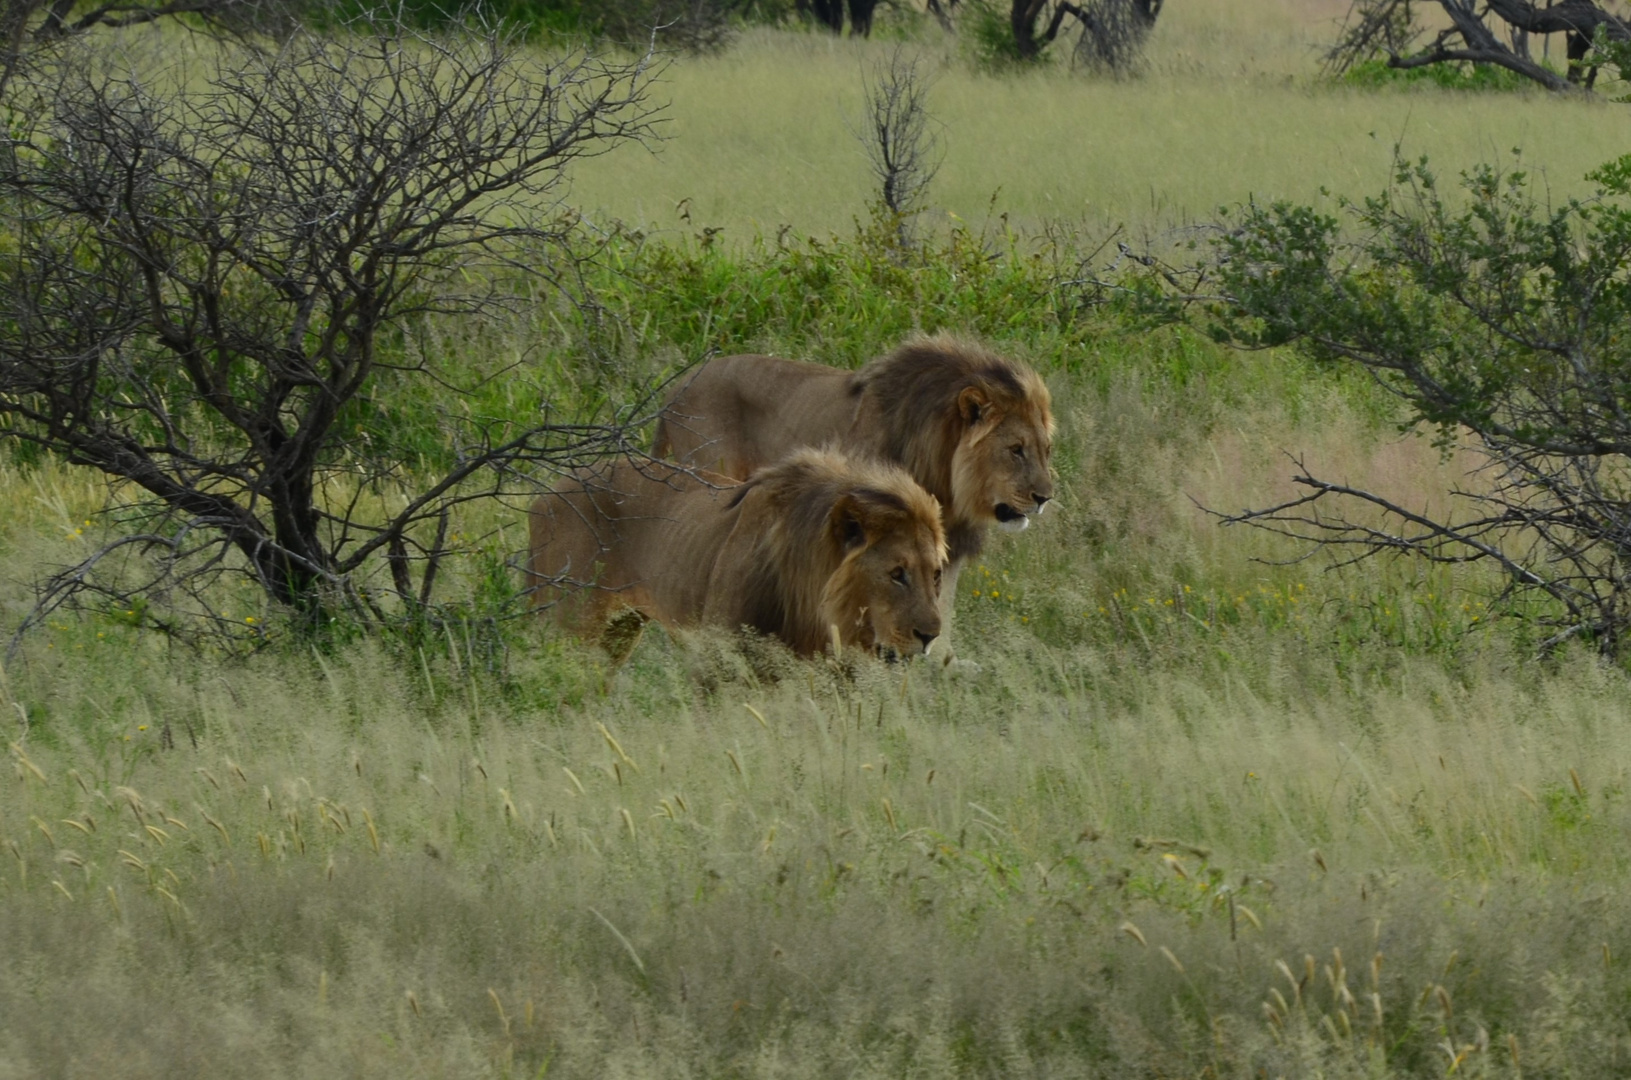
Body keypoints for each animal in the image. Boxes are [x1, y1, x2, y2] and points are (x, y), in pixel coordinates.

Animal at [528, 447, 952, 659]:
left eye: (936, 575)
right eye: (896, 573)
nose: (930, 636)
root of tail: (544, 496)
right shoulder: (718, 661)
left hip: (618, 632)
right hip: (569, 626)